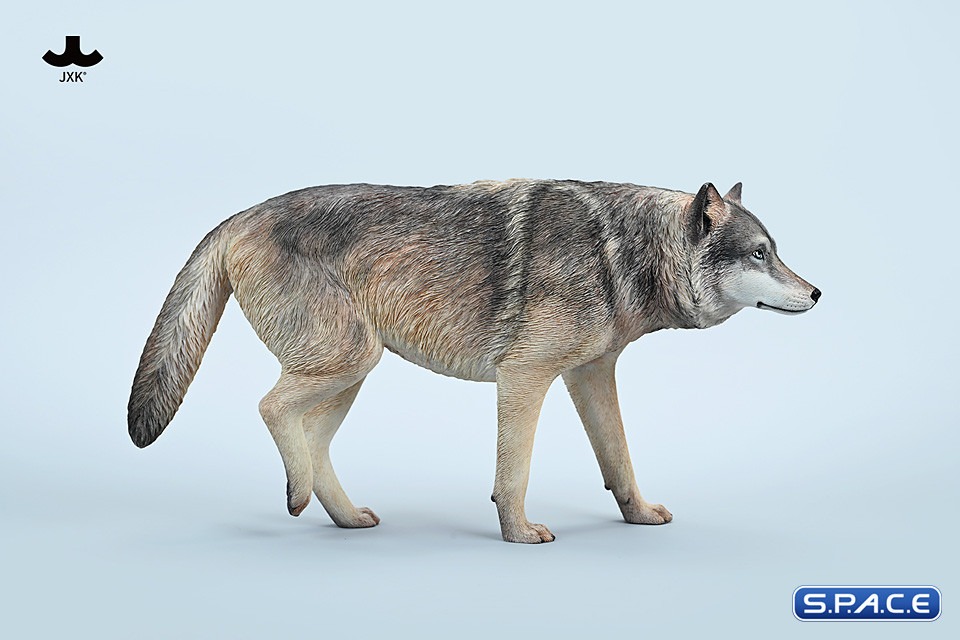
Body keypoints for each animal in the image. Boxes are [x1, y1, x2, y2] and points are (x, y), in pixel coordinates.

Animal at [128, 179, 820, 543]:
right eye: (760, 254)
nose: (816, 293)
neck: (620, 252)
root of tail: (236, 214)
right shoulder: (524, 378)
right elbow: (513, 475)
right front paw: (519, 534)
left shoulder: (589, 376)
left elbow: (620, 461)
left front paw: (639, 516)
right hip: (345, 363)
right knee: (269, 408)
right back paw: (298, 497)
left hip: (352, 375)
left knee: (311, 444)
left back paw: (345, 518)